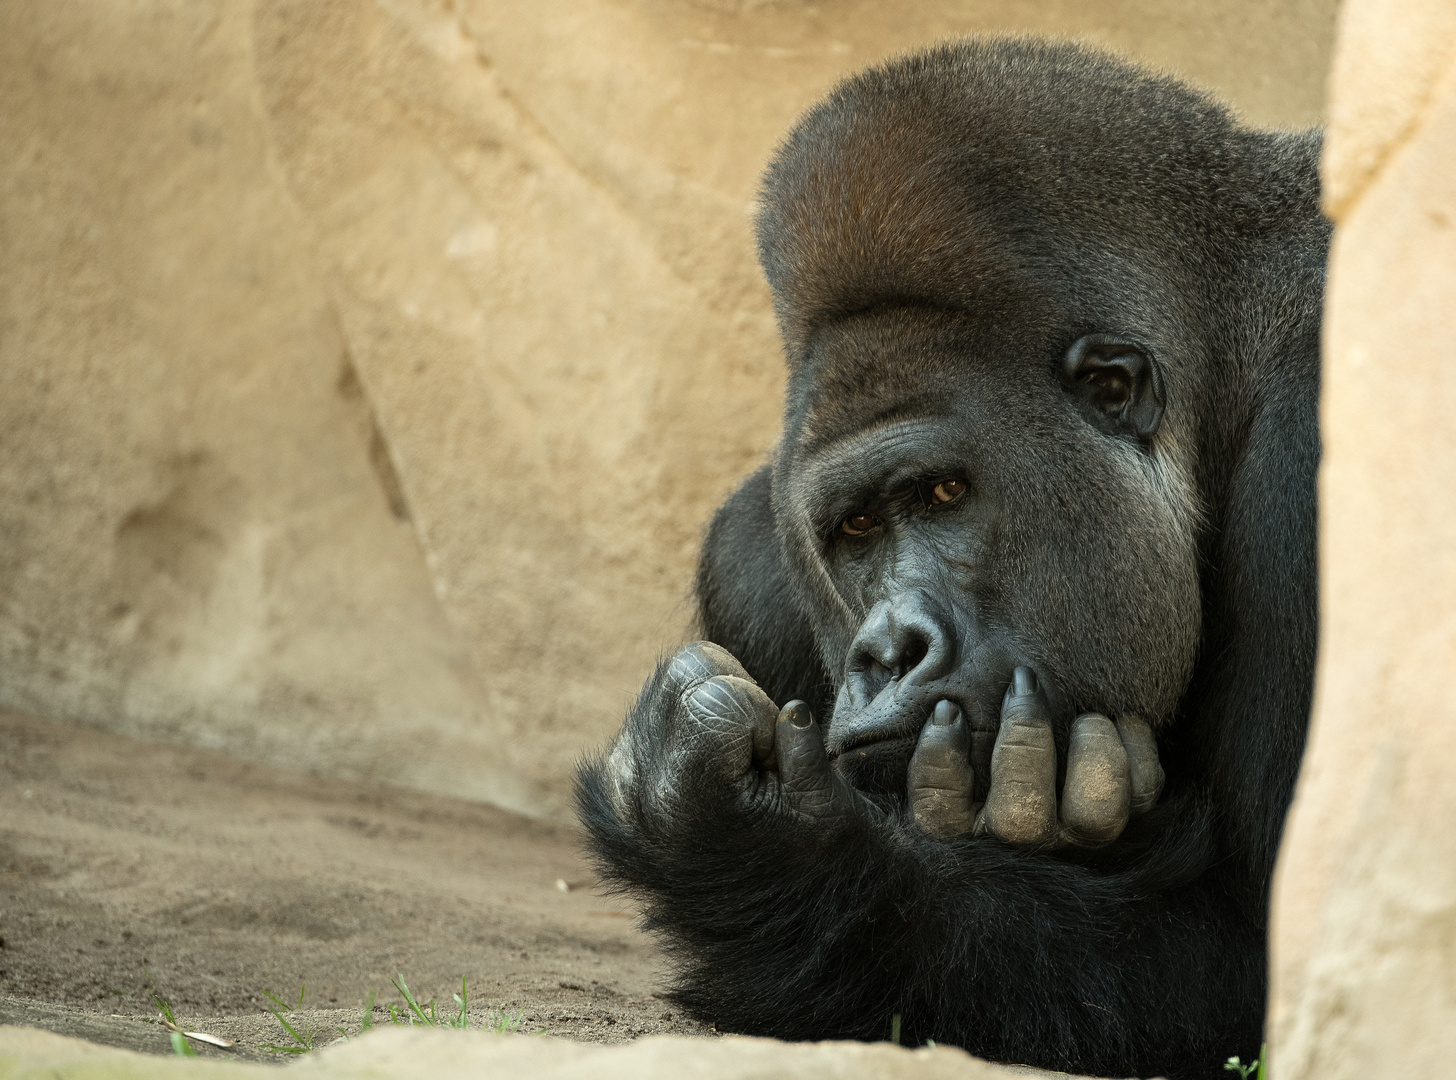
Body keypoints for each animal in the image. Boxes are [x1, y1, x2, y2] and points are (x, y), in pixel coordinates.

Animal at [573, 33, 1327, 1080]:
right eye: (856, 528)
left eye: (940, 494)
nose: (886, 652)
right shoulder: (752, 558)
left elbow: (1274, 964)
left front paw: (756, 855)